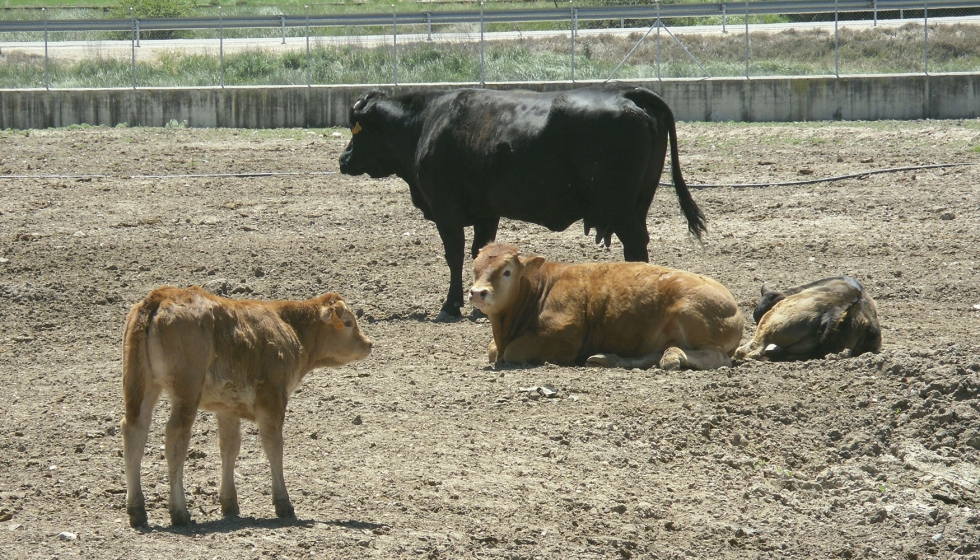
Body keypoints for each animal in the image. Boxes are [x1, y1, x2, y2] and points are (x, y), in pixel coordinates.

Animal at [119, 286, 372, 528]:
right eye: (348, 322)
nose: (369, 344)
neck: (289, 326)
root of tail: (160, 296)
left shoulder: (226, 407)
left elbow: (230, 447)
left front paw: (229, 503)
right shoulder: (273, 396)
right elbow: (274, 446)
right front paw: (283, 503)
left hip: (141, 383)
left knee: (134, 430)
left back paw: (137, 510)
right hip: (186, 389)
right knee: (176, 437)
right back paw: (179, 511)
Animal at [336, 83, 704, 320]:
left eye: (357, 131)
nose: (343, 160)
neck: (427, 123)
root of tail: (627, 93)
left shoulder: (446, 209)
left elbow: (454, 255)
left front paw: (450, 306)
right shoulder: (487, 212)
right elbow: (480, 252)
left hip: (620, 204)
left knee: (635, 243)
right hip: (639, 201)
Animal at [468, 243, 744, 370]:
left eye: (507, 271)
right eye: (475, 268)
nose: (477, 293)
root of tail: (735, 309)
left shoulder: (563, 335)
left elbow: (511, 352)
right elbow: (493, 349)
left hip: (689, 314)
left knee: (717, 357)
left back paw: (674, 356)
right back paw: (608, 358)